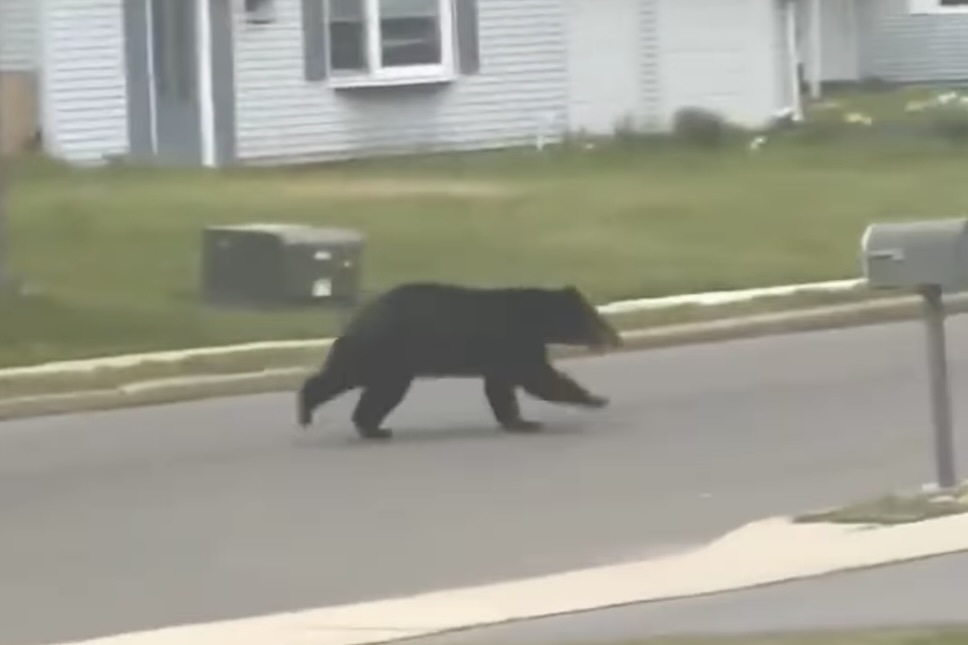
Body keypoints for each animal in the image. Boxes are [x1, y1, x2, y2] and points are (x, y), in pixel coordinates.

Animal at [296, 282, 623, 440]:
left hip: (388, 361)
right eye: (596, 319)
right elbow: (538, 377)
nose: (617, 338)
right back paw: (311, 411)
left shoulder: (501, 356)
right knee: (353, 380)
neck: (536, 318)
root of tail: (358, 319)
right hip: (384, 353)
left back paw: (372, 428)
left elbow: (500, 389)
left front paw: (520, 421)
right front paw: (595, 398)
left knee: (374, 391)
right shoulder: (515, 342)